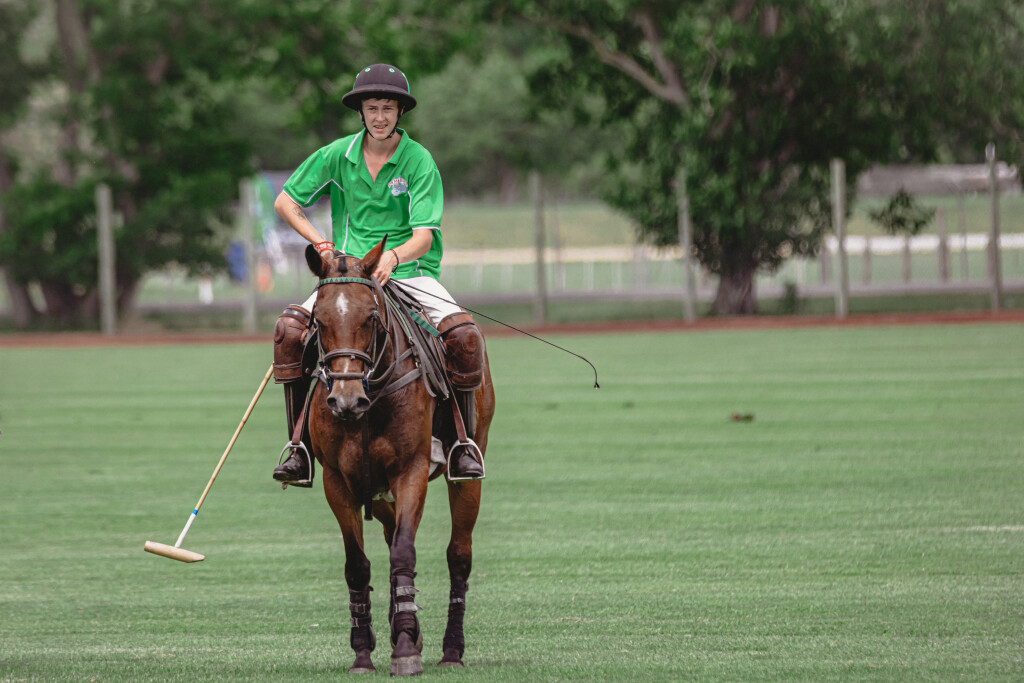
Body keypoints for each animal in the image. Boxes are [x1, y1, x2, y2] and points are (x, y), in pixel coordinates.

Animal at [302, 238, 495, 676]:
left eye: (371, 317)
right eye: (318, 321)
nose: (347, 401)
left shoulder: (411, 469)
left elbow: (405, 552)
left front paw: (406, 648)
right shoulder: (337, 480)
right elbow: (357, 564)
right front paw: (363, 651)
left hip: (467, 465)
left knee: (458, 555)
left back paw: (451, 649)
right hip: (376, 489)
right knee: (390, 537)